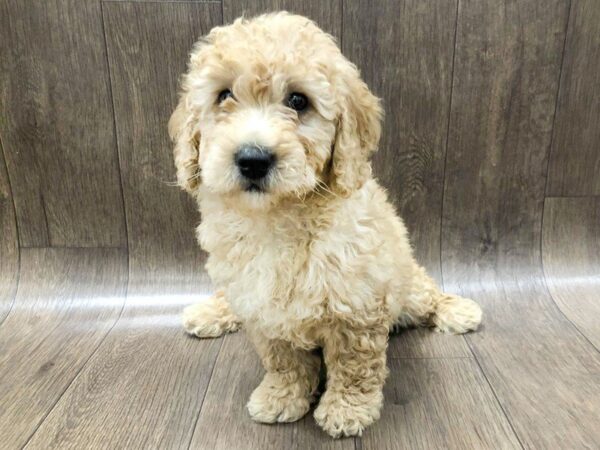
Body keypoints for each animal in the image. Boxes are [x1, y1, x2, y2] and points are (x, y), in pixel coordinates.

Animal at [170, 12, 482, 438]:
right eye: (223, 95)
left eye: (298, 101)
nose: (253, 159)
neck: (279, 216)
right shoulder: (262, 305)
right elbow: (282, 359)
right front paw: (281, 397)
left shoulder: (357, 304)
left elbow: (354, 365)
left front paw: (347, 409)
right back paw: (210, 311)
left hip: (406, 281)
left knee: (426, 293)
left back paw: (457, 309)